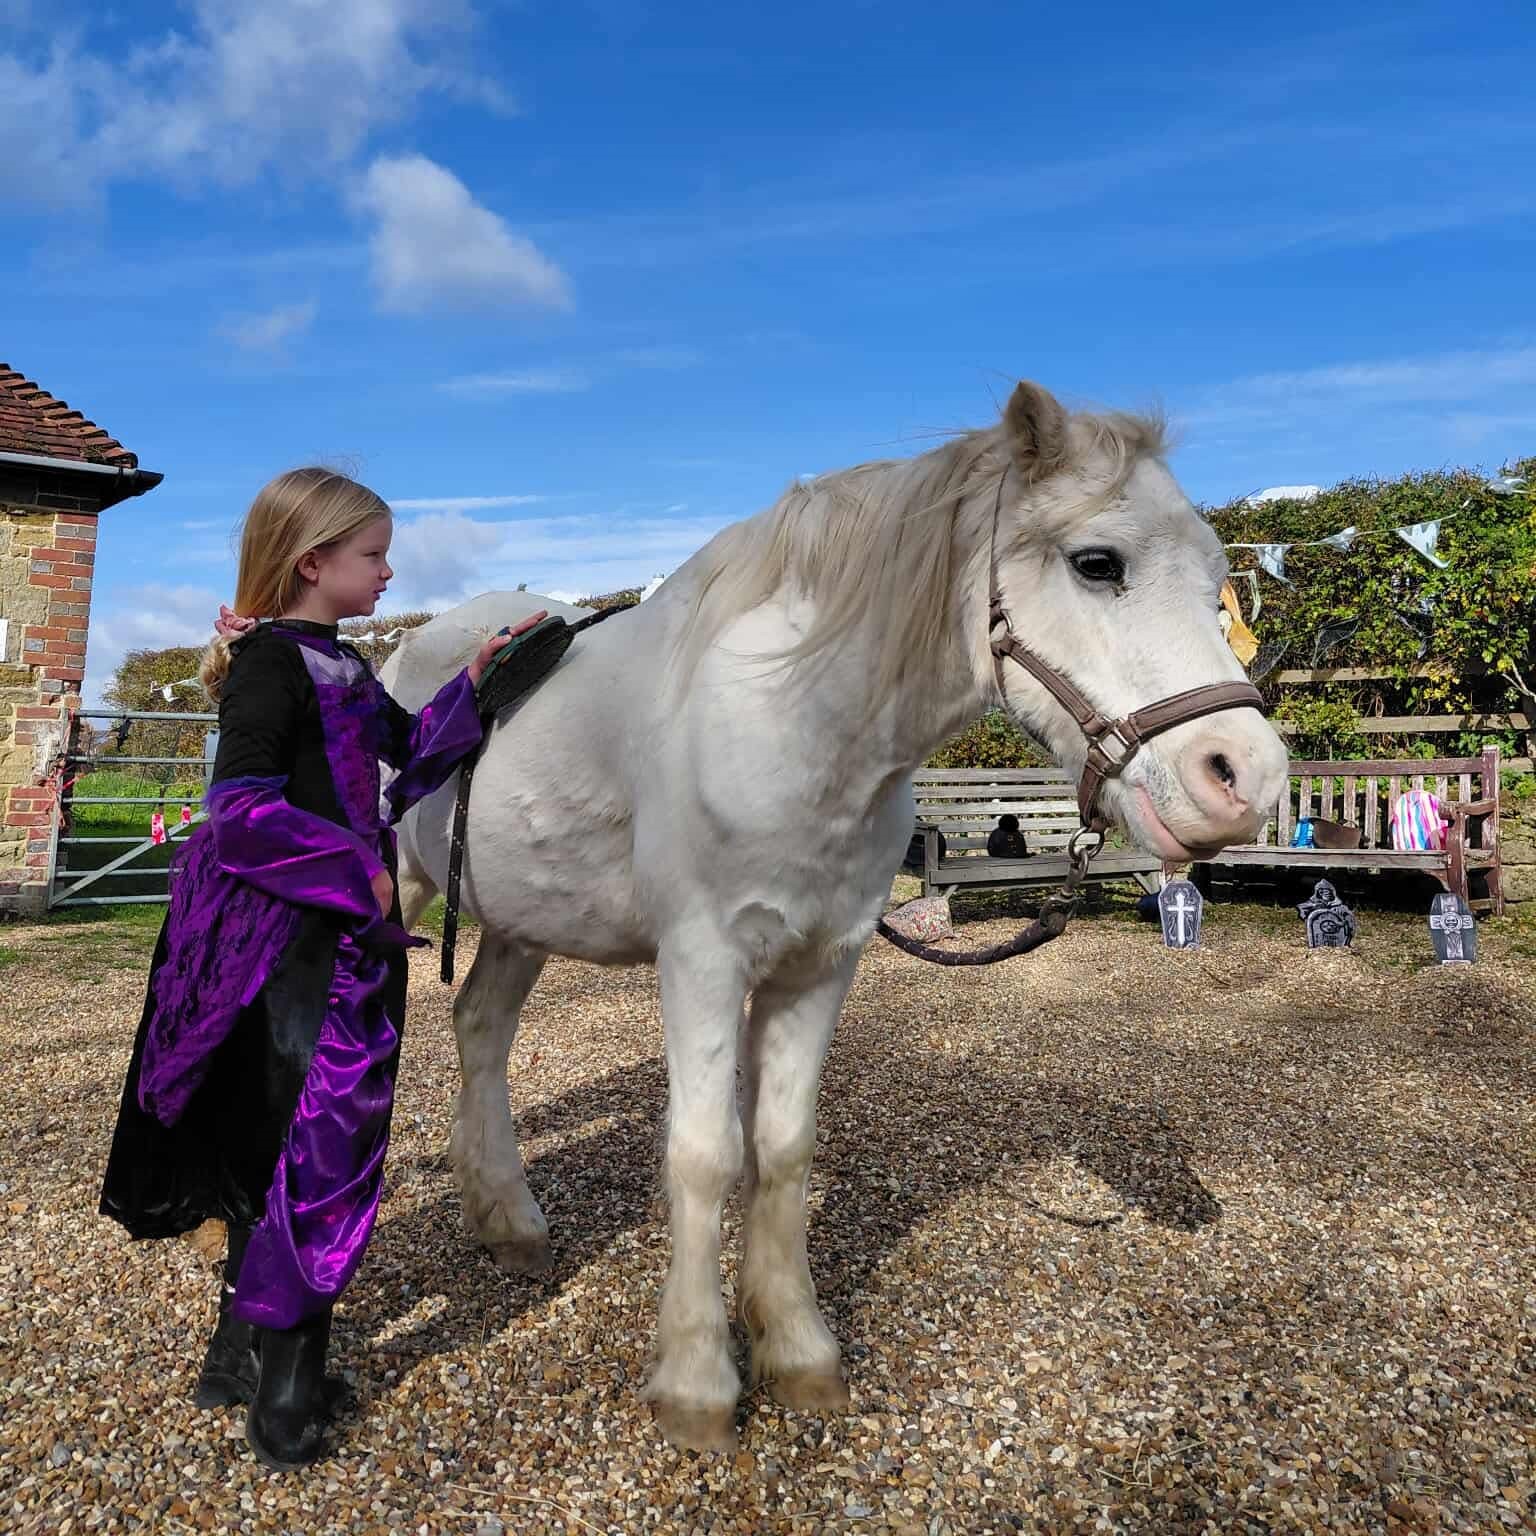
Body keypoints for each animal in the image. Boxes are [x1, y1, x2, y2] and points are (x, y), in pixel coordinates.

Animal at [381, 381, 1289, 1451]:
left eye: (1218, 582)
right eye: (1097, 563)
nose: (1246, 781)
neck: (797, 721)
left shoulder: (820, 966)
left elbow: (782, 1147)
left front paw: (796, 1349)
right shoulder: (701, 963)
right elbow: (705, 1154)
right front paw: (697, 1381)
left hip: (521, 921)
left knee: (479, 1029)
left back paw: (506, 1220)